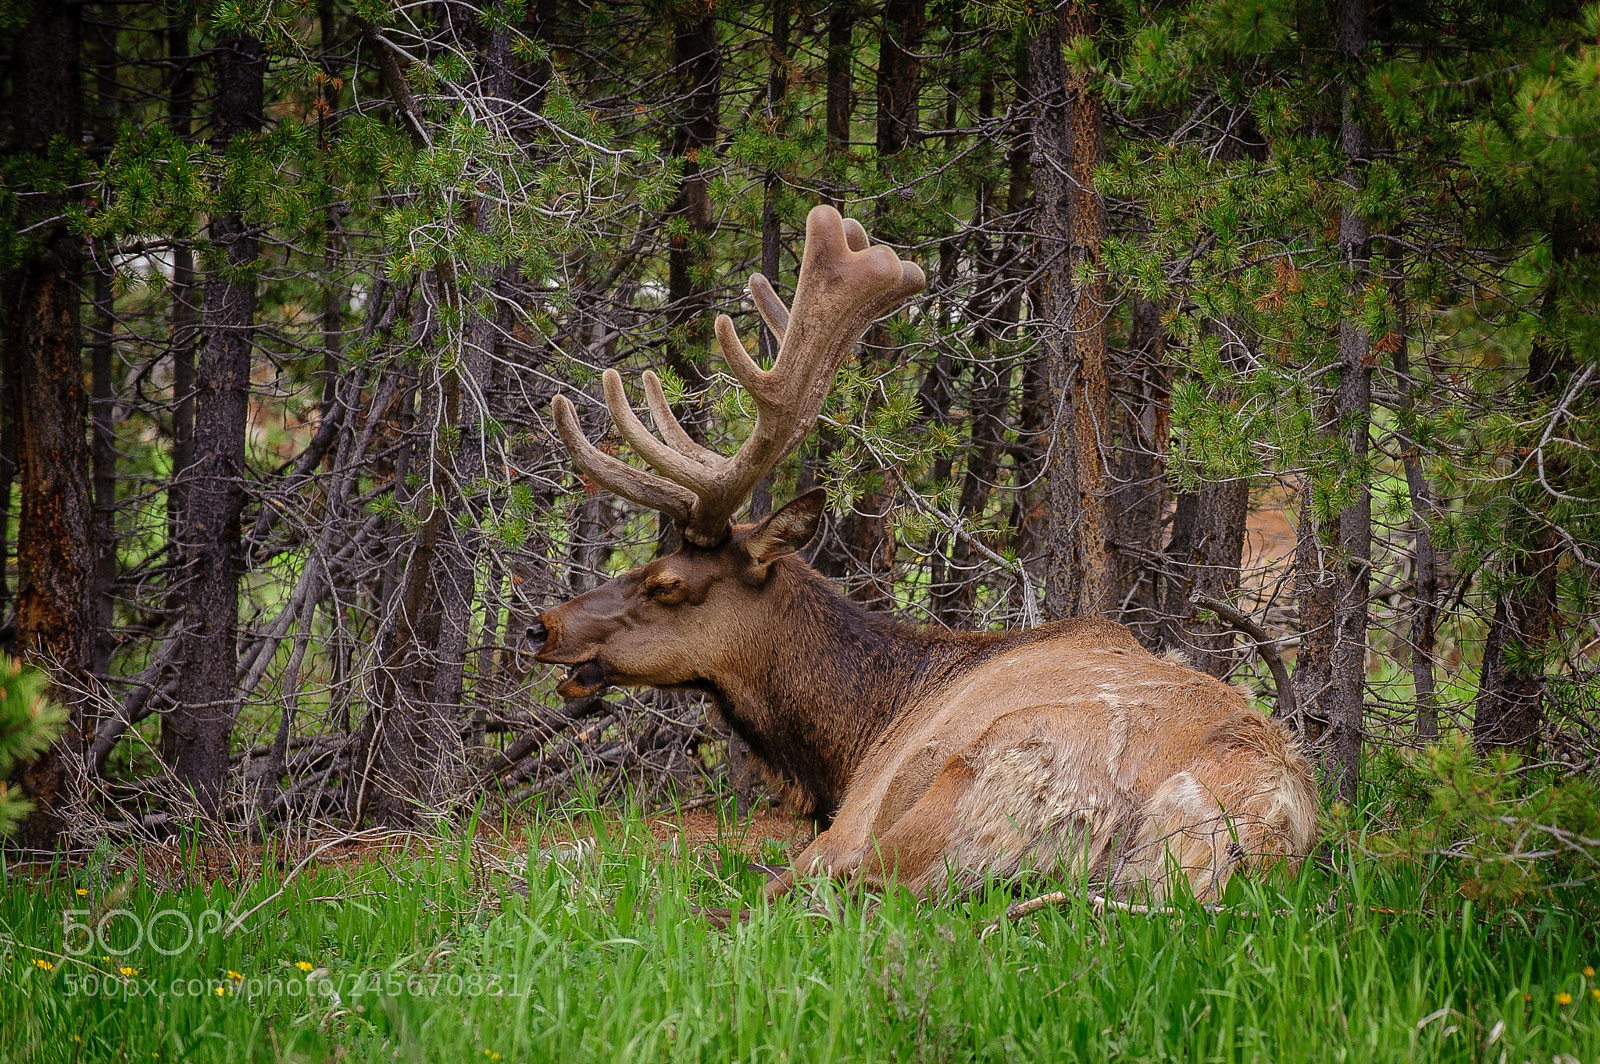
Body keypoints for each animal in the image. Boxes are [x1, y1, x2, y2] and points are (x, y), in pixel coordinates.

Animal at [529, 204, 1317, 903]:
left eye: (665, 582)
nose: (543, 626)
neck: (855, 732)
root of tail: (1257, 825)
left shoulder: (851, 816)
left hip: (957, 791)